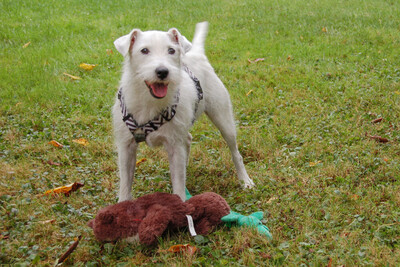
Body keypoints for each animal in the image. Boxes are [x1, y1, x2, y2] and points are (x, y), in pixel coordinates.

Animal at [111, 22, 253, 202]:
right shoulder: (126, 147)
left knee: (235, 152)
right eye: (144, 50)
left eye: (171, 50)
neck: (148, 101)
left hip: (223, 120)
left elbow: (178, 184)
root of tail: (197, 54)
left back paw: (245, 180)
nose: (163, 71)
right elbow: (125, 183)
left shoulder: (174, 146)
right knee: (188, 140)